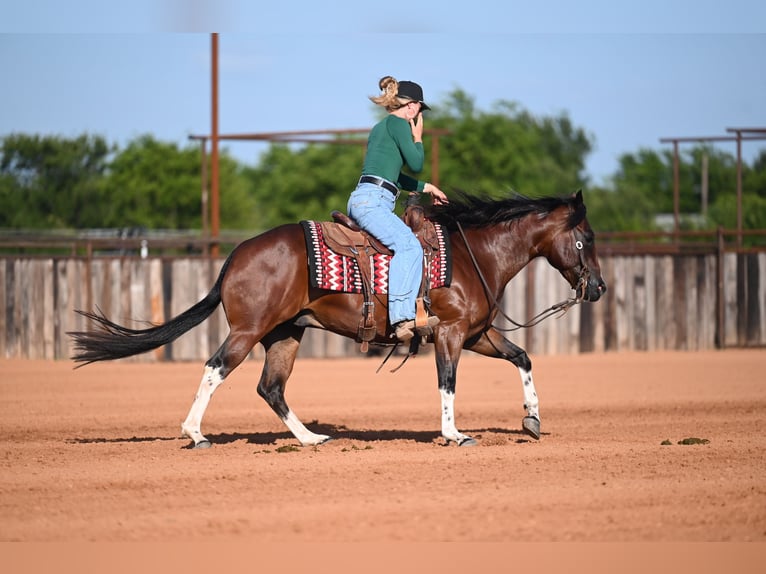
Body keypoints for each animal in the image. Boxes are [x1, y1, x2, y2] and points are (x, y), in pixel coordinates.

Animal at [69, 189, 607, 448]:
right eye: (585, 239)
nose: (598, 288)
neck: (473, 254)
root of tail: (236, 255)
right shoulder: (451, 334)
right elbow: (448, 382)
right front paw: (454, 434)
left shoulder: (478, 333)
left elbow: (523, 357)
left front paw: (532, 419)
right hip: (248, 331)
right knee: (215, 369)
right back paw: (195, 434)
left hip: (285, 335)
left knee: (271, 387)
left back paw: (310, 438)